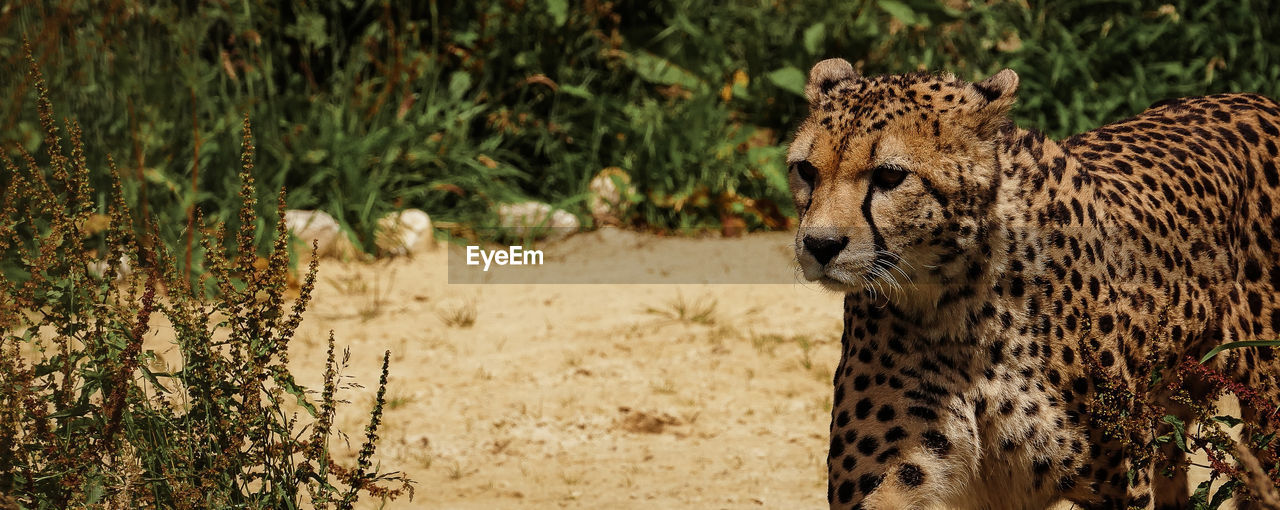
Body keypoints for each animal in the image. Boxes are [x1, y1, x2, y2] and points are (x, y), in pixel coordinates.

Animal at [788, 59, 1280, 510]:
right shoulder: (900, 476)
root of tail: (1250, 98)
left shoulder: (1119, 483)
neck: (960, 304)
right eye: (806, 170)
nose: (819, 244)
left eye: (890, 175)